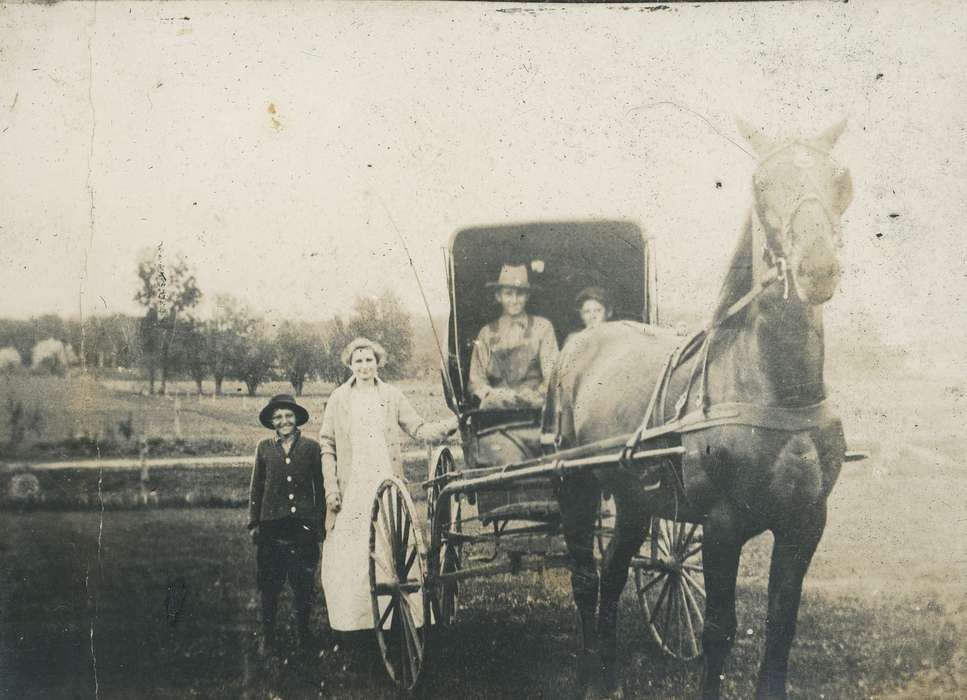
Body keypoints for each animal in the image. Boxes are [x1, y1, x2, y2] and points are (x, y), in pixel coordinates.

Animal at [544, 117, 856, 696]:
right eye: (761, 184)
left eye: (841, 180)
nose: (818, 267)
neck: (776, 390)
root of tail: (577, 344)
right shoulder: (722, 523)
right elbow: (718, 631)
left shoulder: (805, 522)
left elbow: (781, 625)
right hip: (574, 484)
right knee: (584, 579)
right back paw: (588, 674)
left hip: (634, 499)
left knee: (613, 574)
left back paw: (611, 676)